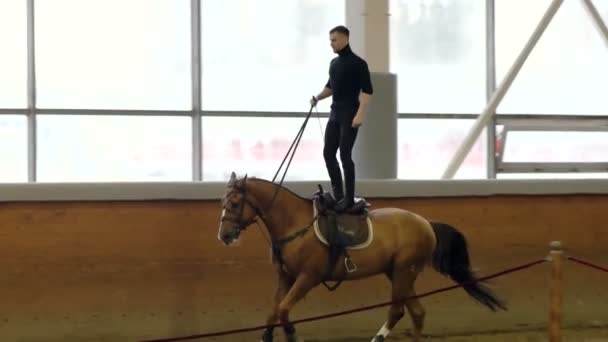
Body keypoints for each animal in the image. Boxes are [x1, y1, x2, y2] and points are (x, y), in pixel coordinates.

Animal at [216, 174, 506, 342]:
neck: (295, 224)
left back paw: (378, 338)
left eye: (234, 204)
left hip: (403, 271)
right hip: (399, 273)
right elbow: (274, 310)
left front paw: (292, 334)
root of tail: (425, 223)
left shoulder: (307, 278)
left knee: (398, 310)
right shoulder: (286, 277)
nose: (225, 235)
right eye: (223, 202)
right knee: (417, 312)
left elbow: (284, 310)